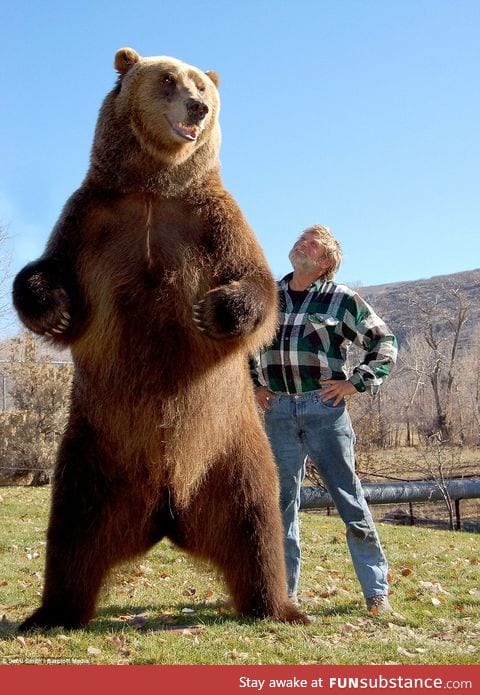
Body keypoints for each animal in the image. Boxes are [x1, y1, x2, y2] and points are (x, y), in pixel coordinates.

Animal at [15, 49, 308, 632]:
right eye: (168, 79)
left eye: (202, 86)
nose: (198, 106)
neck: (155, 186)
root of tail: (168, 512)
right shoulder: (93, 219)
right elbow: (52, 271)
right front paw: (54, 309)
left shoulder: (211, 219)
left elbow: (257, 284)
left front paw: (213, 310)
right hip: (95, 454)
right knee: (71, 535)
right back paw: (50, 612)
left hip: (231, 450)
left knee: (257, 524)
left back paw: (280, 607)